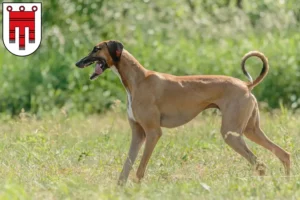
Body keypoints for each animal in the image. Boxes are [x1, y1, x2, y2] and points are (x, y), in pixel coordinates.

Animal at [75, 39, 290, 185]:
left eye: (96, 48)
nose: (78, 63)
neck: (138, 80)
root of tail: (246, 85)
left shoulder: (153, 133)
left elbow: (140, 169)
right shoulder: (138, 134)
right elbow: (126, 169)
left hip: (231, 134)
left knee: (260, 164)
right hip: (250, 131)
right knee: (282, 154)